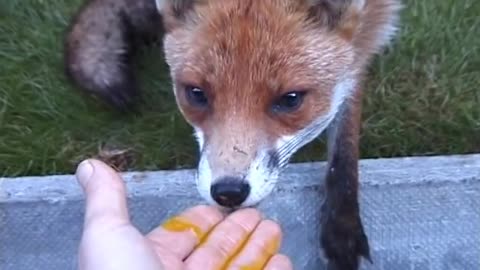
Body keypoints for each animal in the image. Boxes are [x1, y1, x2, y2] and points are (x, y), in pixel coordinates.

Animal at [63, 0, 402, 268]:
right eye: (196, 94)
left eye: (290, 99)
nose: (228, 192)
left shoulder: (365, 42)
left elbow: (343, 151)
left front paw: (342, 231)